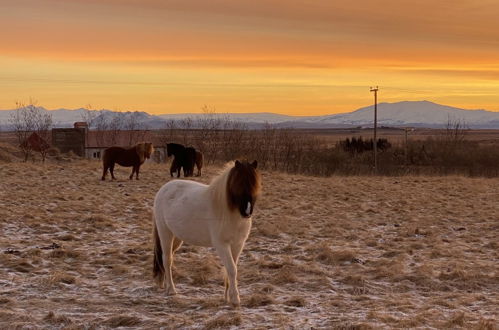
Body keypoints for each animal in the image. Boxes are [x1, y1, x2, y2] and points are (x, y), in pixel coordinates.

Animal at [153, 160, 262, 306]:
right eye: (238, 183)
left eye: (255, 184)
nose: (247, 212)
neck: (228, 212)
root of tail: (163, 189)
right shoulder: (222, 245)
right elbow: (232, 269)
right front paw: (235, 299)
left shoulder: (238, 245)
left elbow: (231, 268)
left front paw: (227, 296)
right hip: (165, 233)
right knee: (167, 259)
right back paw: (171, 290)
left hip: (177, 237)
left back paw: (165, 285)